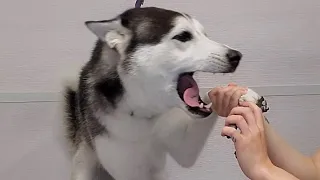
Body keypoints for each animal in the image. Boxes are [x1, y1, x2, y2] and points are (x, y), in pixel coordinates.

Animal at [62, 6, 268, 180]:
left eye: (204, 35)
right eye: (183, 36)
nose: (236, 56)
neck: (144, 110)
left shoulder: (183, 146)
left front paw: (238, 94)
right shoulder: (126, 166)